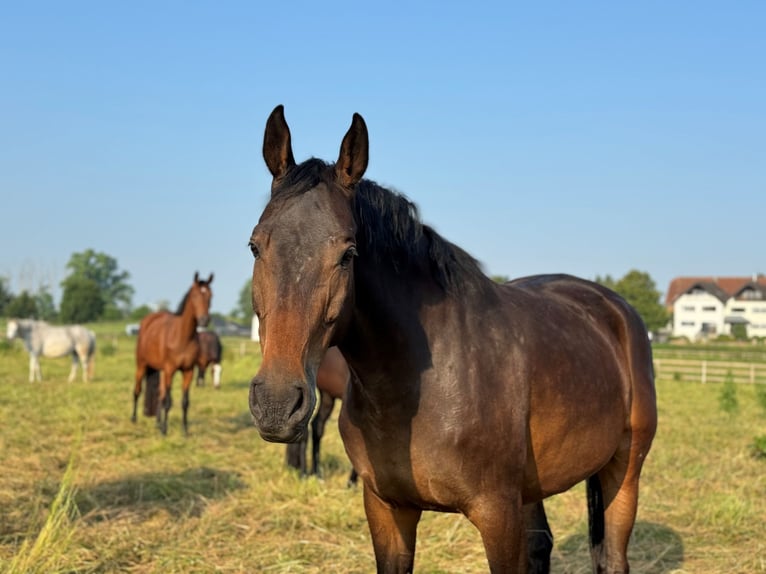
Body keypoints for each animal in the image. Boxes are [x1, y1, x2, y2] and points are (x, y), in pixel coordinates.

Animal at [133, 274, 213, 436]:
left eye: (210, 295)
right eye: (194, 295)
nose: (204, 320)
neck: (182, 337)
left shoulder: (188, 371)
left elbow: (184, 402)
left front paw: (185, 430)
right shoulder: (170, 370)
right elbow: (168, 402)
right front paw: (165, 430)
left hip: (161, 371)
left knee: (160, 394)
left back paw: (157, 423)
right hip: (142, 365)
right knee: (137, 390)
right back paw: (134, 419)